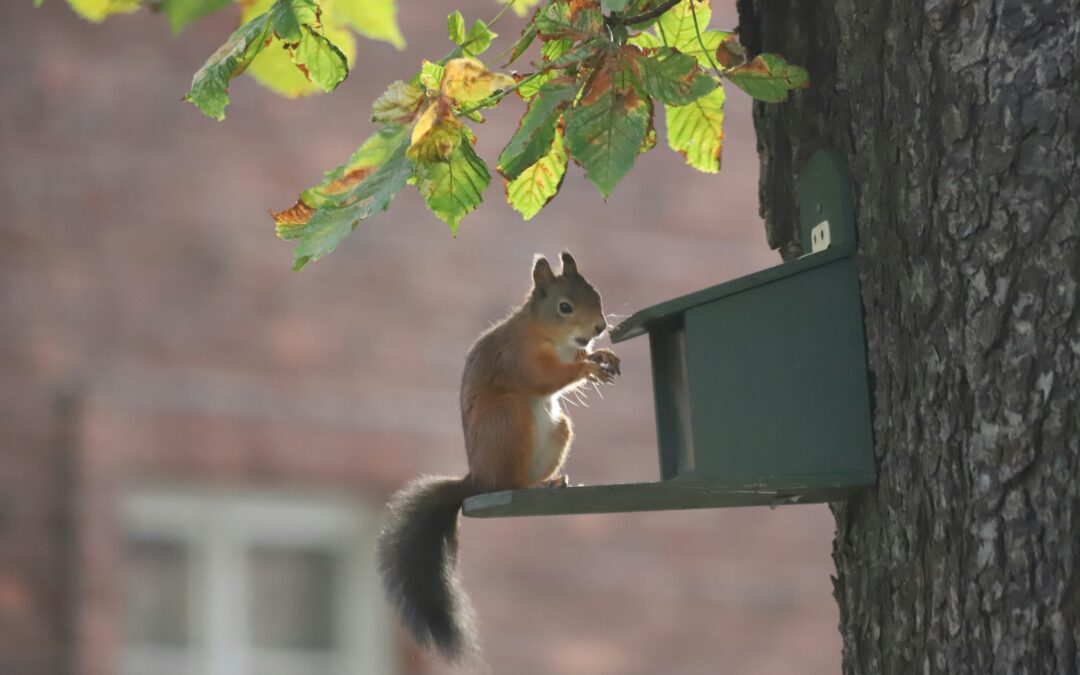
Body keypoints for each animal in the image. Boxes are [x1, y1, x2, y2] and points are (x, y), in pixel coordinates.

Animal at [376, 251, 620, 664]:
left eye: (597, 295)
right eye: (565, 307)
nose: (600, 327)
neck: (548, 334)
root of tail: (477, 479)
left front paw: (599, 354)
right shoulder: (519, 356)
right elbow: (544, 378)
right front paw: (586, 366)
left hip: (560, 429)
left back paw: (551, 480)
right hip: (509, 418)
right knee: (511, 482)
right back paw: (532, 486)